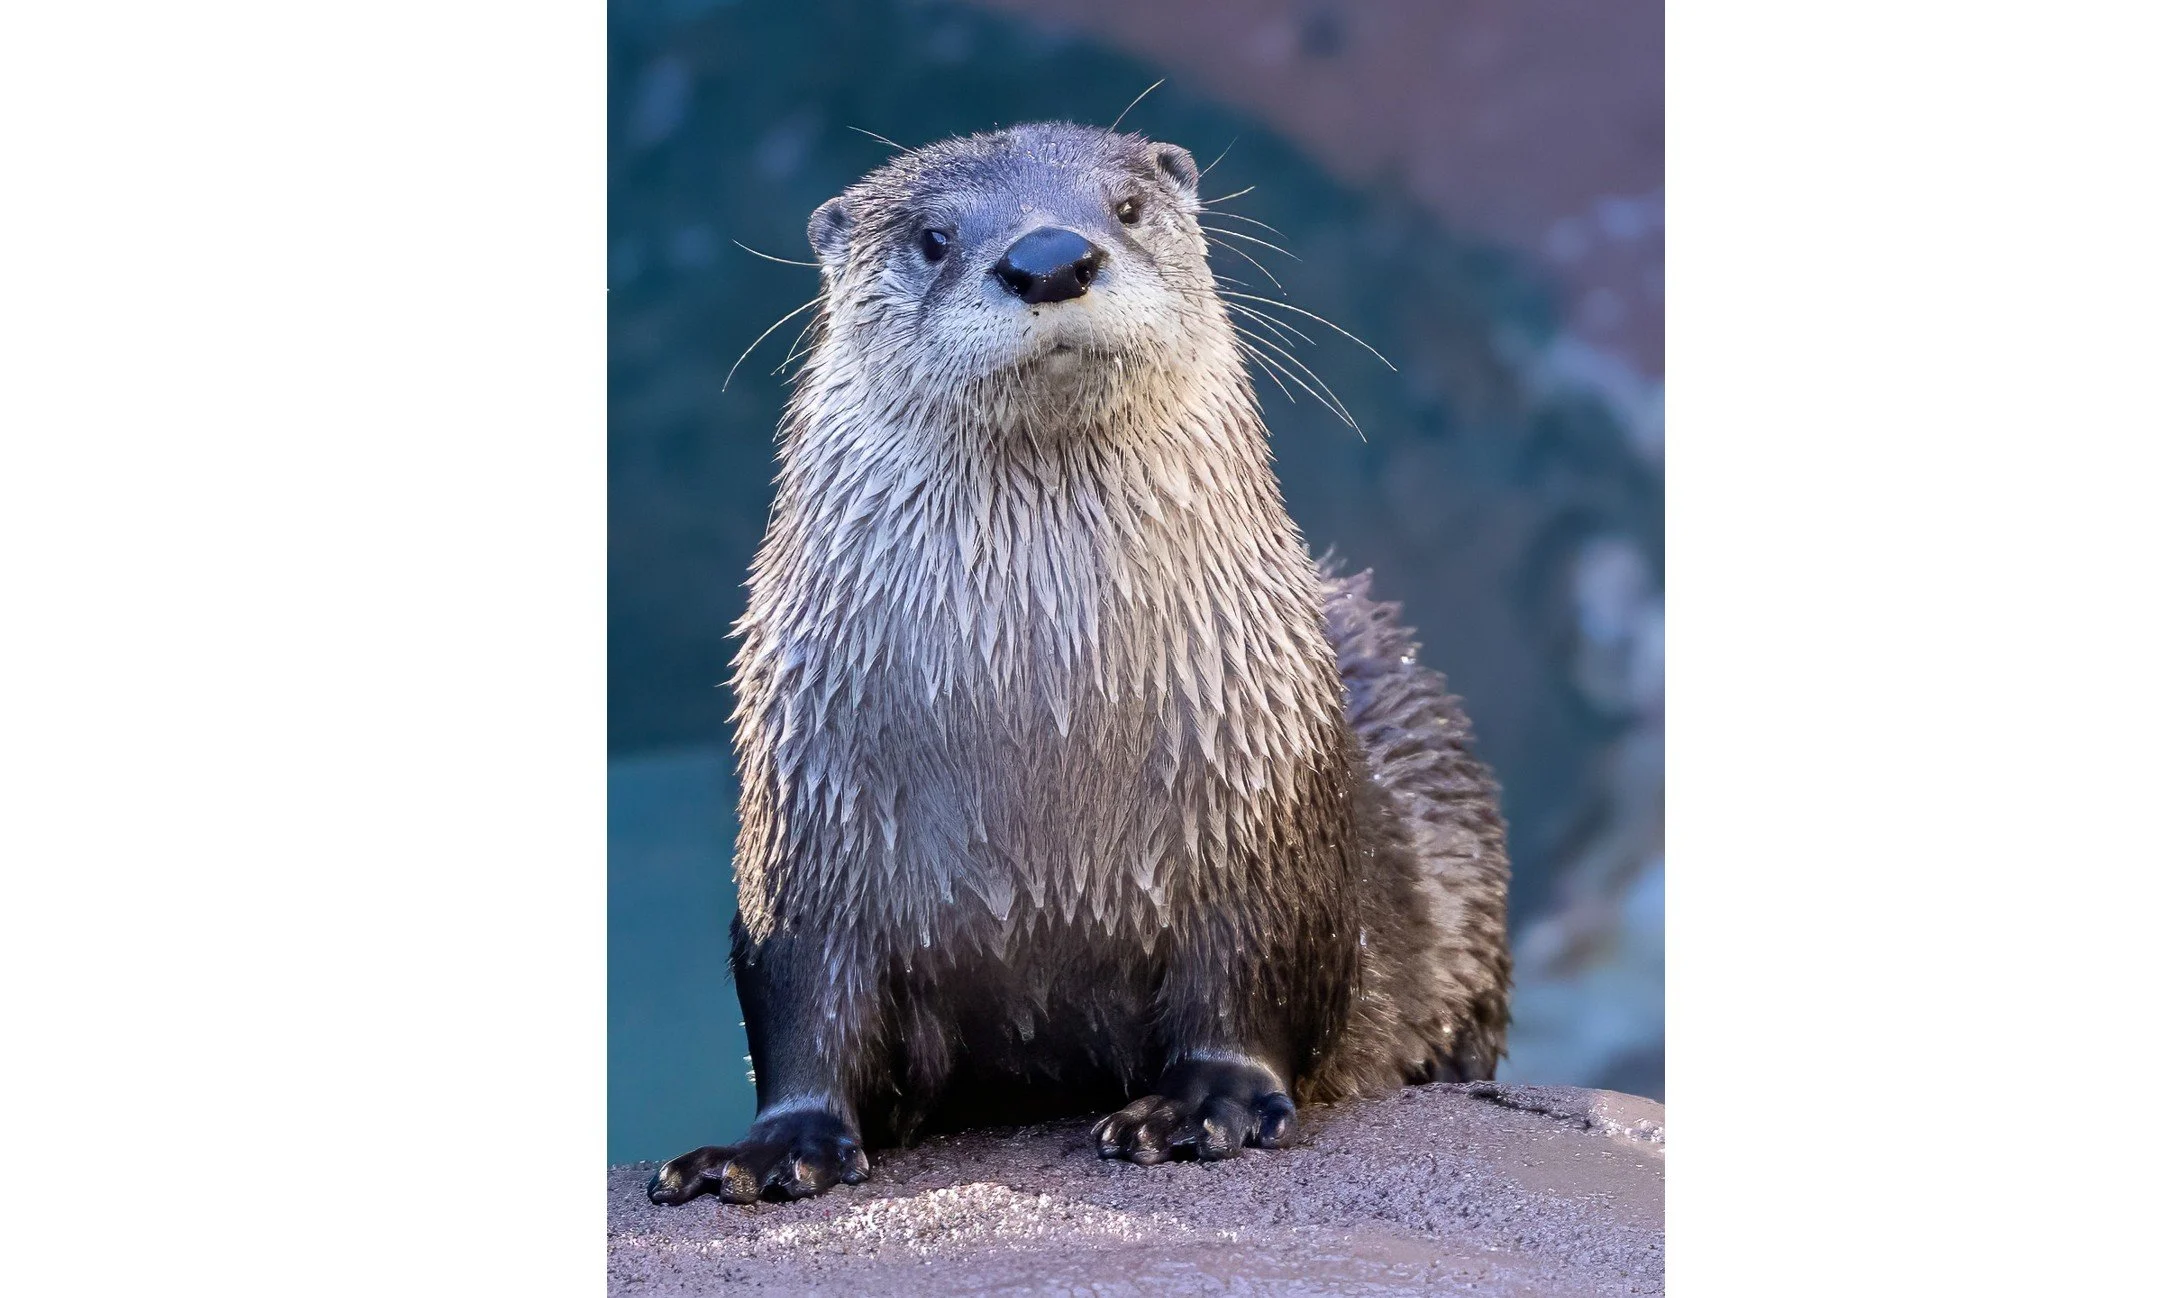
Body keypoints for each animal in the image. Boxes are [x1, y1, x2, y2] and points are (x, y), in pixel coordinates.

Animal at [648, 122, 1510, 1206]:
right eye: (934, 238)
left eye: (1127, 207)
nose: (1052, 257)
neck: (1037, 741)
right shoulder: (808, 822)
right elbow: (799, 991)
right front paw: (775, 1145)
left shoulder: (1261, 813)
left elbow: (1257, 964)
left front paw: (1204, 1105)